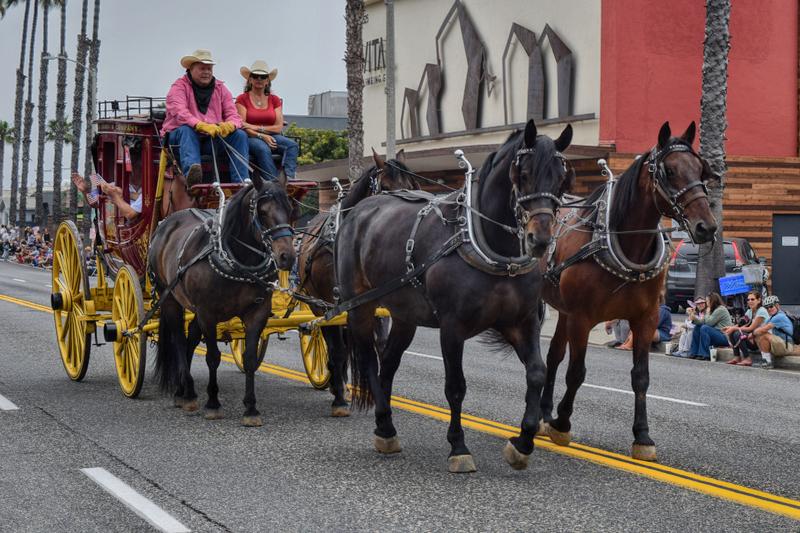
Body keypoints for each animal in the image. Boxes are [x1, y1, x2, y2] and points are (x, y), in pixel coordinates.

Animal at [148, 172, 296, 426]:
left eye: (290, 208)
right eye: (262, 211)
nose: (287, 256)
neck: (237, 259)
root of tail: (165, 224)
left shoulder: (257, 312)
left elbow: (249, 358)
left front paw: (251, 408)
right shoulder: (208, 313)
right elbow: (213, 357)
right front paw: (213, 403)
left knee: (190, 339)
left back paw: (183, 391)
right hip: (170, 299)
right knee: (179, 341)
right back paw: (188, 393)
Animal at [296, 149, 418, 416]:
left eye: (414, 186)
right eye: (386, 187)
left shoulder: (379, 304)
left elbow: (380, 348)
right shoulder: (329, 304)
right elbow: (338, 350)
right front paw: (340, 401)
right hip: (316, 305)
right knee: (332, 343)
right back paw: (337, 387)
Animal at [334, 119, 572, 470]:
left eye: (561, 177)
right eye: (523, 173)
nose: (539, 239)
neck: (489, 246)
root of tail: (357, 211)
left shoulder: (521, 322)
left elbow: (536, 374)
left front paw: (523, 442)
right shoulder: (452, 327)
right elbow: (456, 387)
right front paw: (458, 446)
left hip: (405, 314)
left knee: (388, 362)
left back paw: (385, 425)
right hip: (360, 306)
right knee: (368, 360)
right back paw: (385, 425)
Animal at [536, 122, 720, 460]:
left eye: (701, 169)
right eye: (670, 171)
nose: (707, 227)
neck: (621, 242)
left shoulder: (645, 318)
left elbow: (641, 377)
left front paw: (642, 436)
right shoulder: (582, 318)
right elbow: (577, 371)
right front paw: (562, 423)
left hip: (564, 310)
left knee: (554, 355)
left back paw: (542, 412)